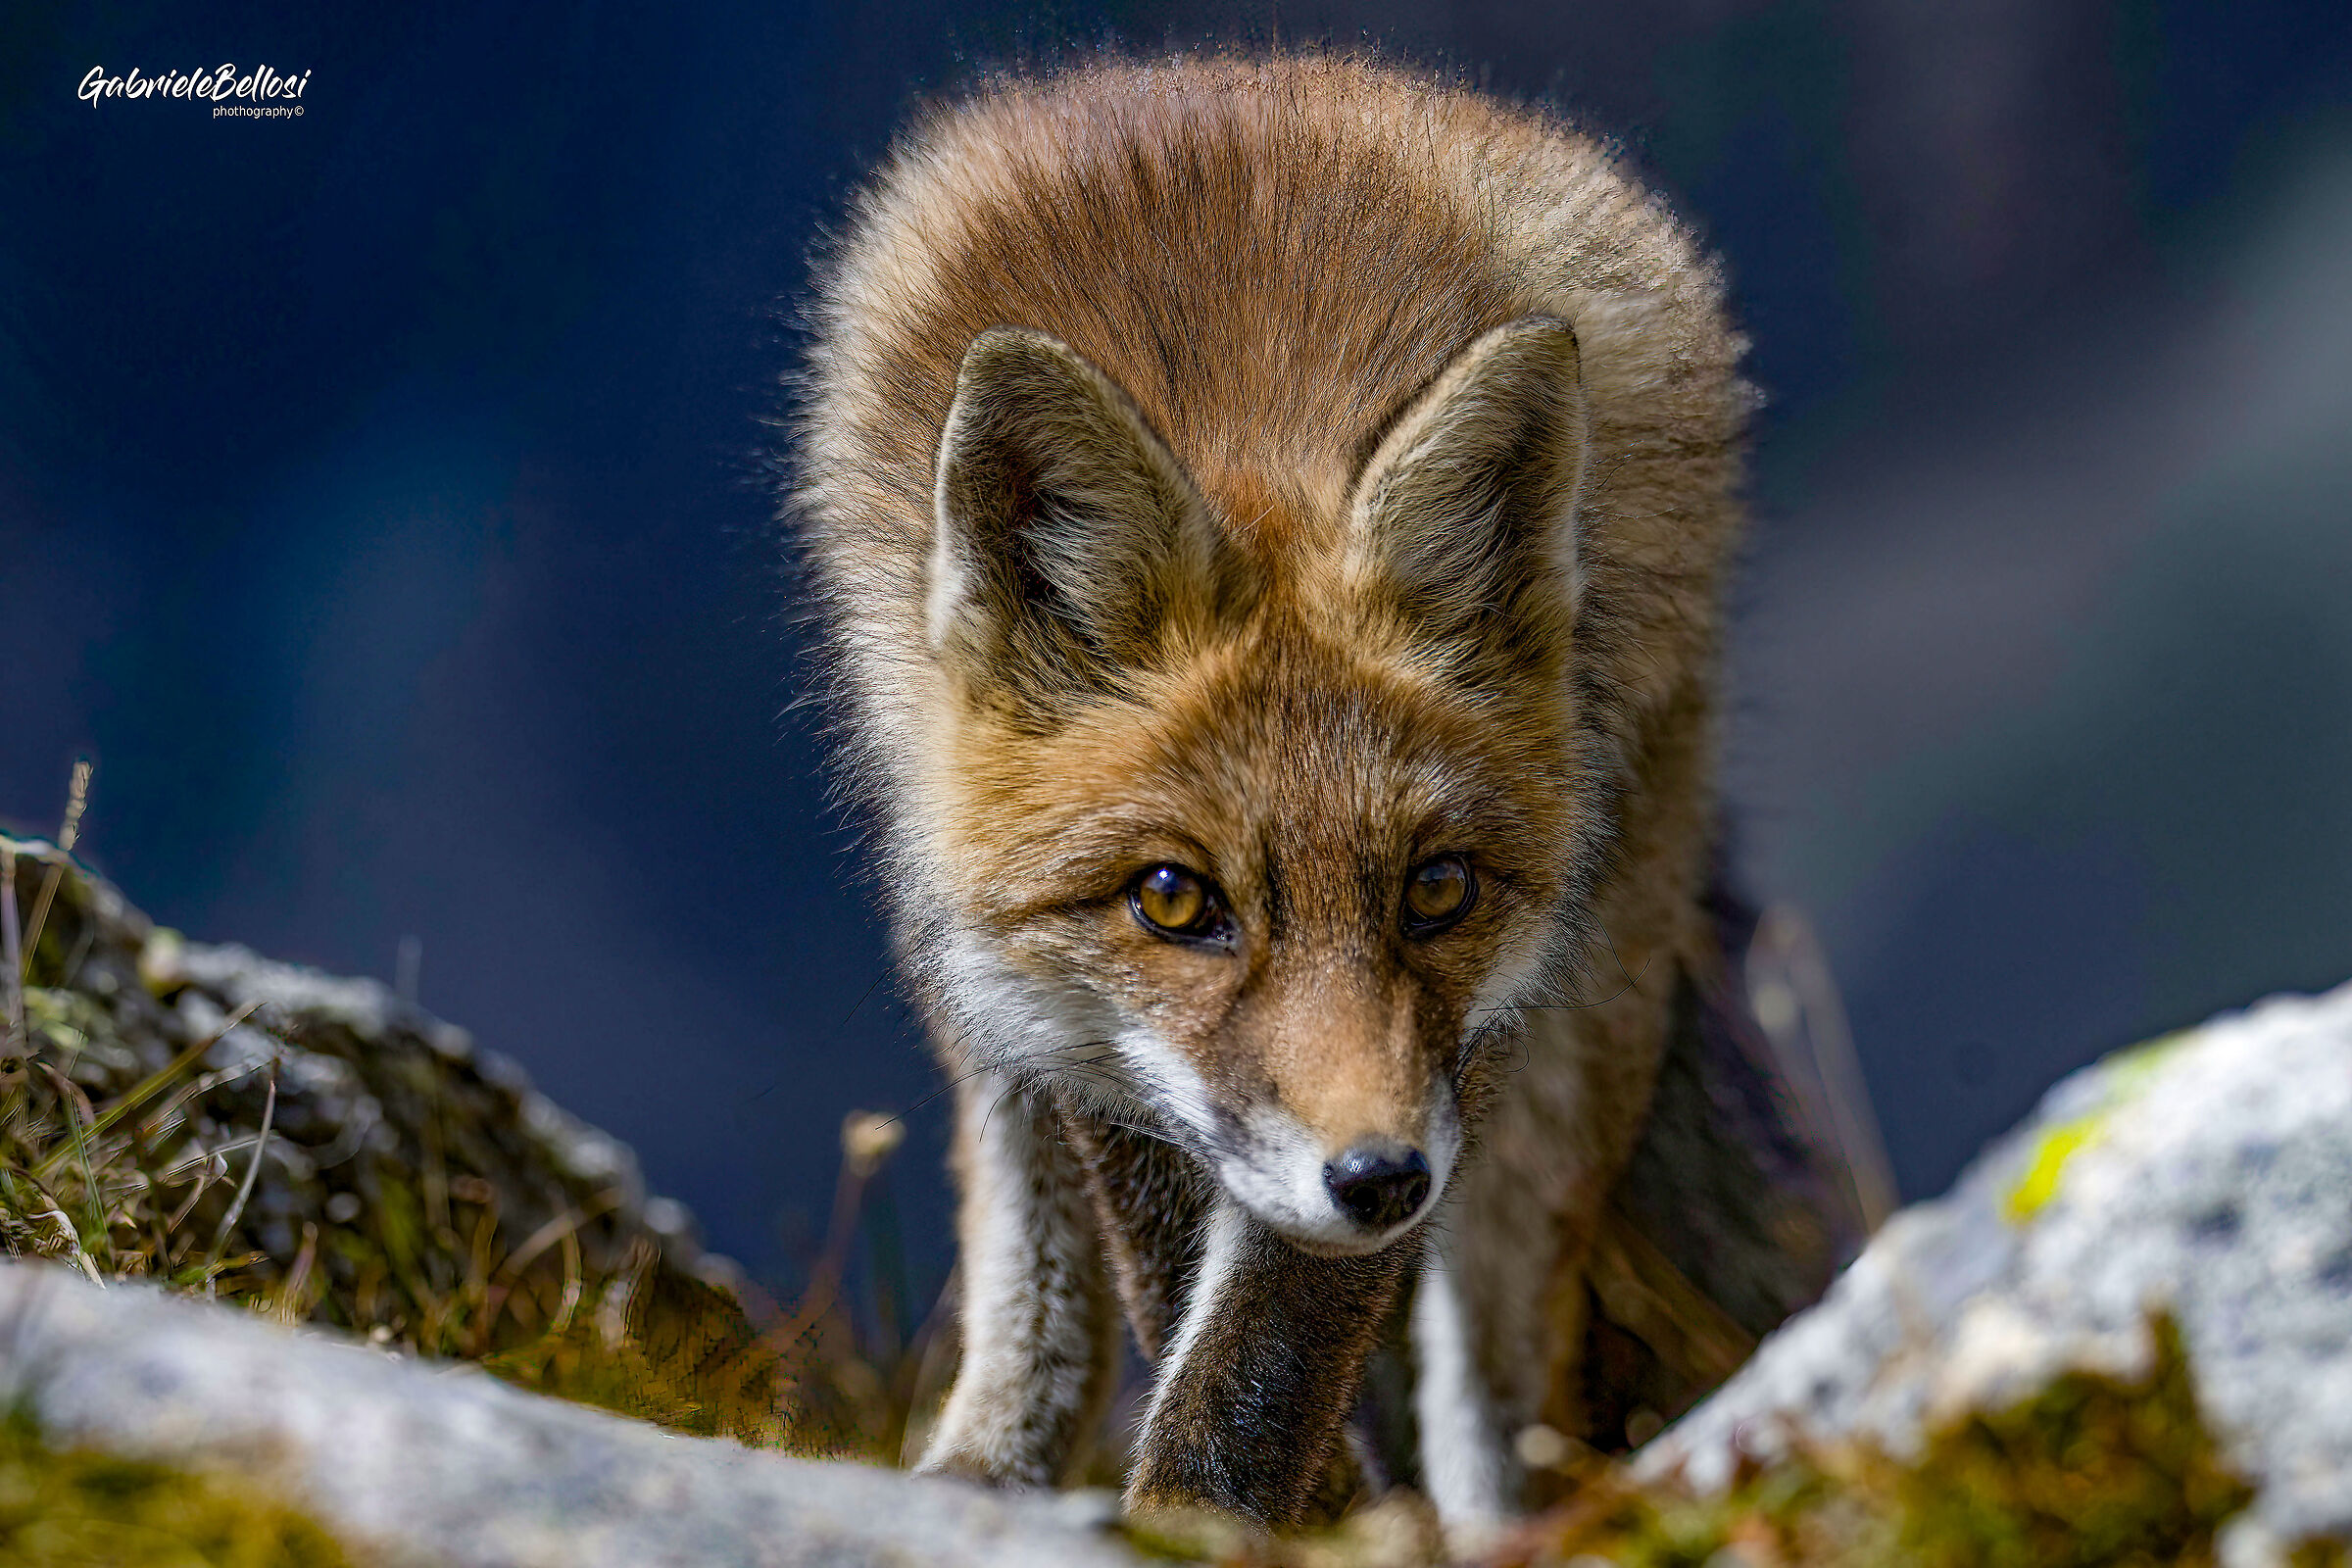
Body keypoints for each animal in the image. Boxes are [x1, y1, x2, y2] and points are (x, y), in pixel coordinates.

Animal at [791, 53, 1837, 1536]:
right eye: (1174, 901)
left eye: (1437, 889)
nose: (1382, 1178)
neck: (1242, 424)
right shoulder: (1086, 1031)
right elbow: (1173, 1292)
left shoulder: (1455, 1056)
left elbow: (1255, 1372)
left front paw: (1231, 1523)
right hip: (966, 954)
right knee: (1035, 1261)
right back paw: (984, 1465)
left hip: (1572, 1044)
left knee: (1505, 1391)